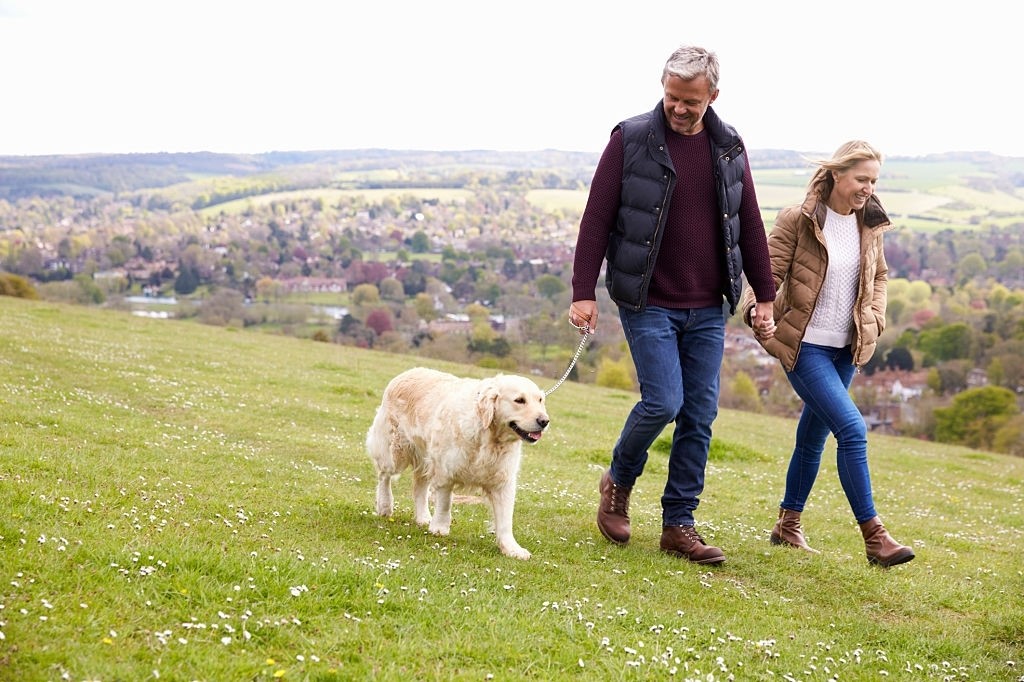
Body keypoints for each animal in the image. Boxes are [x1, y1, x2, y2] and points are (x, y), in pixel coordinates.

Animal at [364, 366, 548, 557]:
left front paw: (512, 548)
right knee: (384, 476)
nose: (544, 421)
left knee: (419, 487)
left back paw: (423, 517)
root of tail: (407, 372)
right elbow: (445, 503)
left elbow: (505, 520)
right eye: (519, 400)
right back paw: (385, 506)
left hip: (425, 457)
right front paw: (440, 528)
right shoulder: (445, 471)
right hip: (394, 451)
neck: (489, 437)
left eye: (540, 400)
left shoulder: (503, 481)